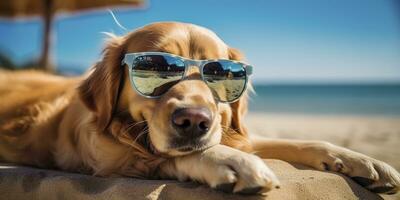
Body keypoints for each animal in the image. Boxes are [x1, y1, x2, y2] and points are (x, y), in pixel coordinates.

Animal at [0, 22, 398, 195]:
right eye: (155, 67)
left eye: (219, 72)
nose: (194, 121)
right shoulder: (109, 161)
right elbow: (173, 155)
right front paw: (230, 162)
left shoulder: (234, 130)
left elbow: (299, 142)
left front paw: (364, 161)